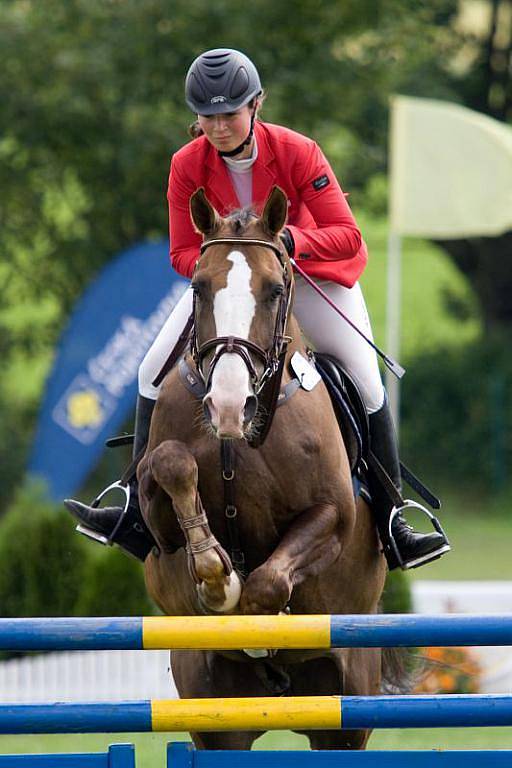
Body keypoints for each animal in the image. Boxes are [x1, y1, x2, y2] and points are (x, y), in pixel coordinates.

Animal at [136, 184, 388, 752]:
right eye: (199, 288)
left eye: (275, 290)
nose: (230, 407)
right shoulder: (159, 529)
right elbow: (171, 463)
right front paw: (215, 575)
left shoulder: (332, 518)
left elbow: (268, 585)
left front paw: (248, 610)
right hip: (213, 714)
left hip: (349, 708)